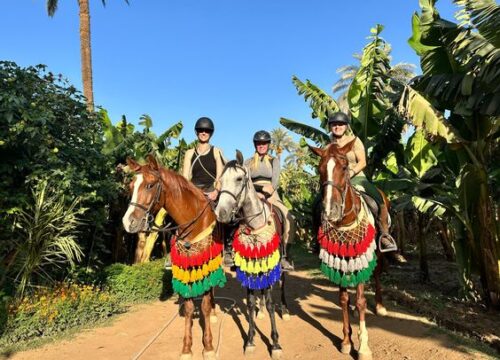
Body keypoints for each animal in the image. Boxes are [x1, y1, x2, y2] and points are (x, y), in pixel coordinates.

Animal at [121, 155, 225, 360]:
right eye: (130, 186)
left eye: (150, 185)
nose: (128, 222)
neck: (192, 222)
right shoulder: (185, 266)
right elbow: (189, 308)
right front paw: (186, 348)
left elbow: (204, 305)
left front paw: (208, 346)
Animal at [308, 140, 390, 360]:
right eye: (319, 169)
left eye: (344, 167)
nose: (330, 210)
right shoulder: (340, 258)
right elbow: (343, 299)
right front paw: (346, 341)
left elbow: (362, 300)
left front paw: (363, 347)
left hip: (379, 249)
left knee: (377, 273)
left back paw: (380, 305)